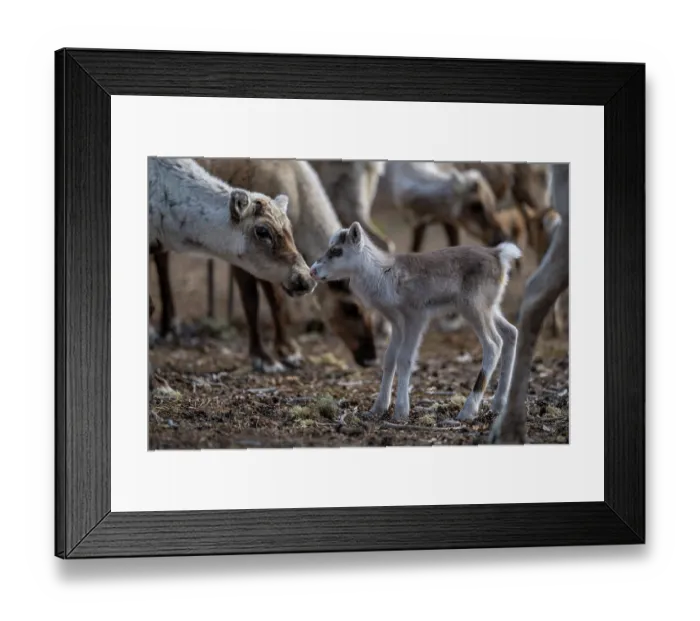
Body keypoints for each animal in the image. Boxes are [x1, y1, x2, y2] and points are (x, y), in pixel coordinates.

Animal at [310, 222, 522, 423]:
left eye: (337, 250)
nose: (312, 271)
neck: (384, 275)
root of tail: (498, 255)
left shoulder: (416, 317)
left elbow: (405, 359)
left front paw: (401, 411)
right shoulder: (396, 323)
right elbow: (389, 359)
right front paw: (377, 408)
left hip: (474, 308)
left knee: (493, 345)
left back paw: (468, 411)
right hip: (491, 308)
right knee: (511, 333)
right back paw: (498, 405)